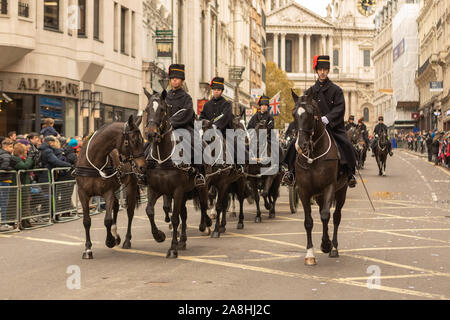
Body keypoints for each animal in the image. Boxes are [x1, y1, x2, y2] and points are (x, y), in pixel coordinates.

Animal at [74, 116, 146, 258]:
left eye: (142, 140)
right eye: (134, 140)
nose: (142, 166)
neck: (94, 162)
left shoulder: (107, 193)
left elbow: (107, 219)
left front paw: (110, 240)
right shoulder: (83, 194)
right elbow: (86, 221)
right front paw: (88, 249)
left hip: (130, 185)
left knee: (129, 212)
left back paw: (126, 240)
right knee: (116, 206)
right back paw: (116, 234)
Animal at [290, 90, 350, 264]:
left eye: (311, 114)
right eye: (293, 114)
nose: (301, 146)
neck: (313, 156)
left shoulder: (329, 187)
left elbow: (325, 215)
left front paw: (326, 244)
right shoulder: (304, 191)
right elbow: (309, 221)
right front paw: (310, 254)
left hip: (341, 191)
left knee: (336, 216)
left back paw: (334, 247)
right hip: (318, 195)